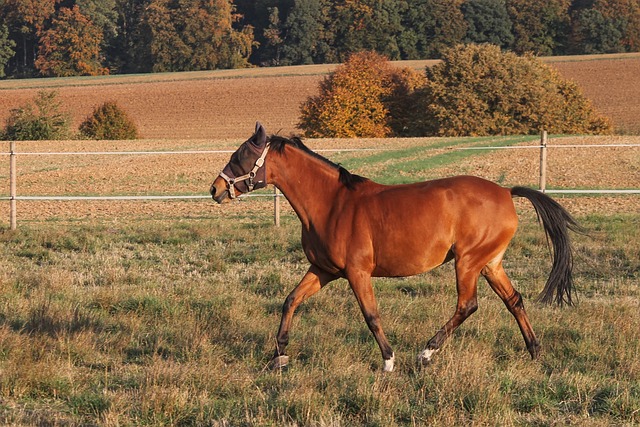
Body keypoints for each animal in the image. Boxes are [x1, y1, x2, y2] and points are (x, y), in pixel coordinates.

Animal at [212, 123, 584, 372]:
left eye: (242, 155)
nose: (215, 189)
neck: (332, 204)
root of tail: (506, 192)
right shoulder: (323, 270)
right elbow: (290, 300)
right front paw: (280, 356)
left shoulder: (357, 272)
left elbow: (371, 315)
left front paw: (389, 361)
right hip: (490, 263)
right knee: (514, 301)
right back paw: (534, 352)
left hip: (467, 262)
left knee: (467, 305)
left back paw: (426, 353)